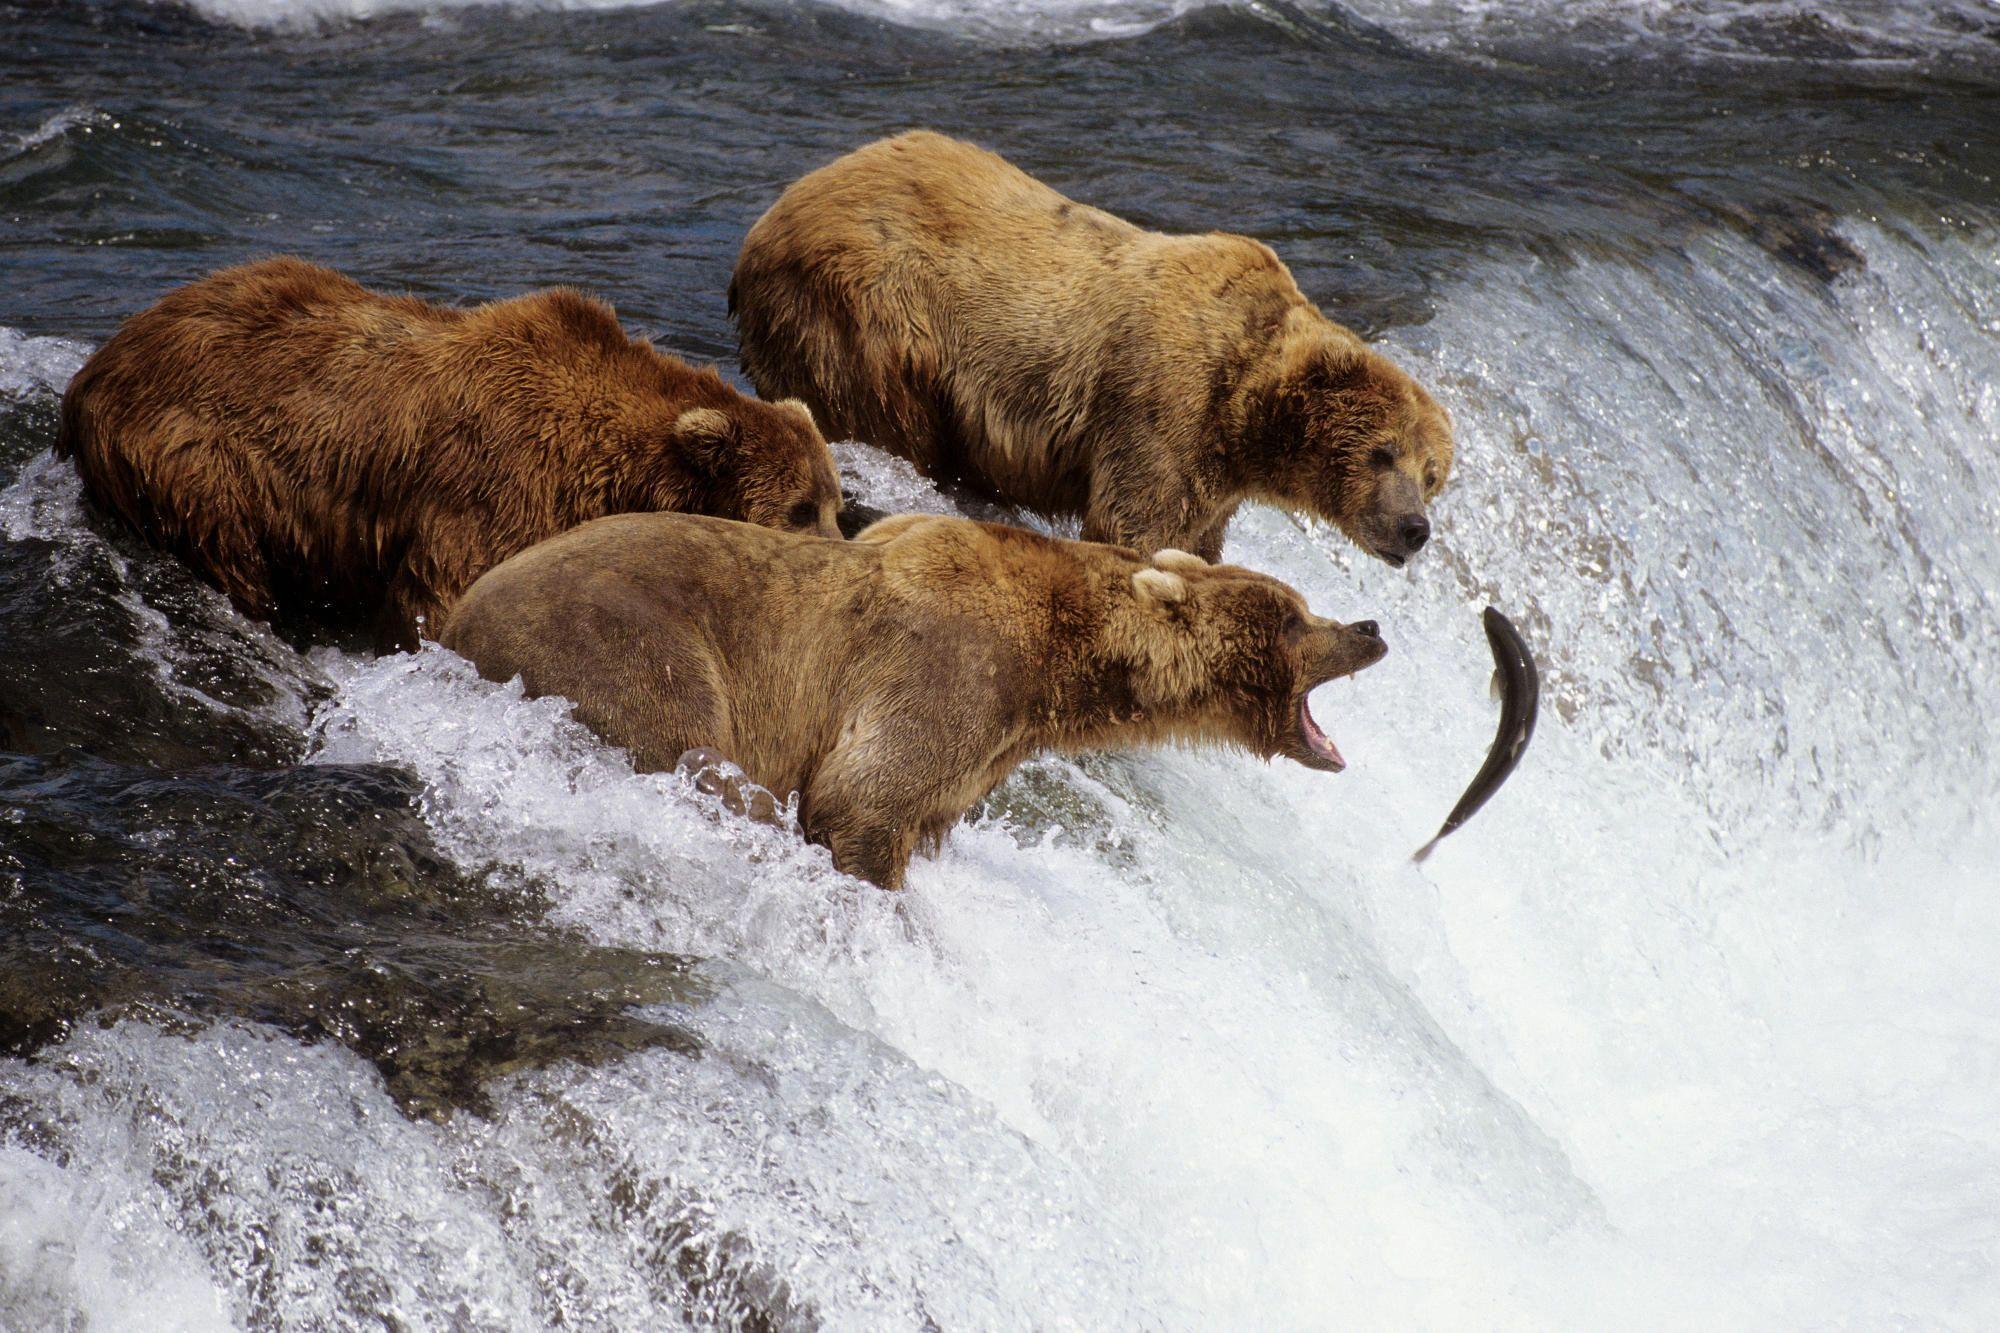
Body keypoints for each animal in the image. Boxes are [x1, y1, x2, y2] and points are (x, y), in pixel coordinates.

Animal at [58, 256, 844, 649]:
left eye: (835, 503)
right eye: (798, 508)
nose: (840, 555)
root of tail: (94, 368)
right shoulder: (497, 484)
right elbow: (443, 595)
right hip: (195, 453)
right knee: (228, 544)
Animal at [439, 510, 1388, 889]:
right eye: (1295, 616)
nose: (1371, 626)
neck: (1060, 664)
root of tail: (452, 621)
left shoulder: (988, 742)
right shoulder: (947, 669)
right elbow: (862, 793)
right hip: (627, 642)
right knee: (695, 748)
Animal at [729, 130, 1454, 566]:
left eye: (1432, 474)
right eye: (1382, 451)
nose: (1415, 528)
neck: (1245, 411)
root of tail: (774, 213)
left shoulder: (1215, 476)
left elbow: (1197, 540)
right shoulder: (1163, 407)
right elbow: (1135, 527)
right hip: (869, 313)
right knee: (886, 416)